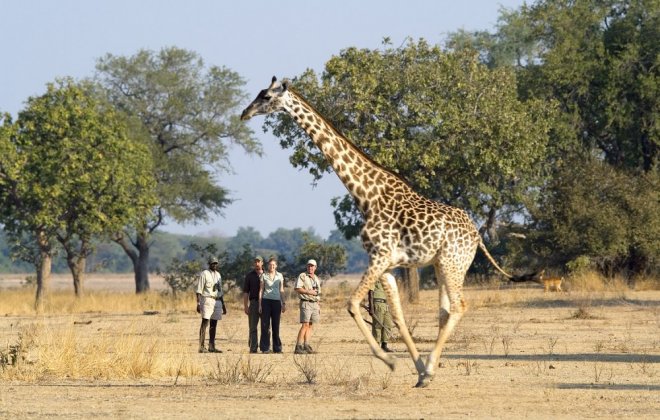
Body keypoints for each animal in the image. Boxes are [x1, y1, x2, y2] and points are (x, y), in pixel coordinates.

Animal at [240, 78, 532, 388]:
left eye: (266, 96)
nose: (245, 112)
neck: (366, 195)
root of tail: (477, 234)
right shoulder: (389, 265)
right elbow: (398, 316)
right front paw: (417, 370)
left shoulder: (379, 256)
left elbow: (353, 304)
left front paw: (391, 361)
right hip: (442, 264)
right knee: (445, 311)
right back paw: (429, 370)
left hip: (453, 263)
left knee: (459, 306)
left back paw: (431, 366)